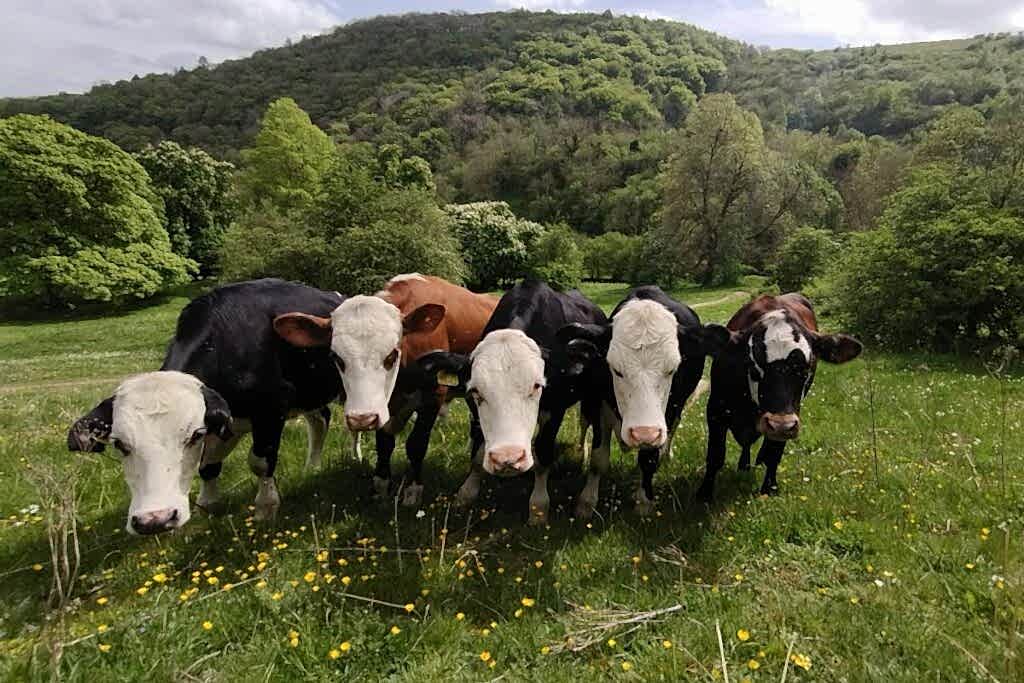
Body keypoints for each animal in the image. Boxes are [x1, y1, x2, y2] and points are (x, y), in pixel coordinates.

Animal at [68, 278, 444, 535]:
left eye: (192, 436)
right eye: (120, 445)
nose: (155, 520)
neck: (227, 338)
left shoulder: (270, 409)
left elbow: (260, 461)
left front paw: (266, 507)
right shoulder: (228, 416)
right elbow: (209, 465)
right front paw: (207, 502)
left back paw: (354, 455)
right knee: (320, 420)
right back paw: (313, 465)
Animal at [368, 274, 498, 508]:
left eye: (390, 353)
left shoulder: (433, 395)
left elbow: (416, 444)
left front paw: (413, 491)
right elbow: (384, 442)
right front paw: (381, 486)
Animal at [418, 280, 608, 525]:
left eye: (537, 385)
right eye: (476, 391)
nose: (507, 458)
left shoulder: (554, 409)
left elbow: (543, 454)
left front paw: (538, 508)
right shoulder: (474, 412)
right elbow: (477, 453)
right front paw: (466, 493)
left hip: (591, 397)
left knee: (586, 424)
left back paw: (581, 454)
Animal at [557, 286, 730, 517]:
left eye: (672, 368)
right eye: (615, 369)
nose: (642, 433)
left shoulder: (664, 416)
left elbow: (648, 459)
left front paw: (644, 501)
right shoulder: (599, 406)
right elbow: (598, 459)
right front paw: (586, 502)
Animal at [696, 293, 863, 501]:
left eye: (806, 369)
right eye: (751, 365)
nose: (780, 425)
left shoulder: (791, 418)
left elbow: (773, 454)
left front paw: (769, 488)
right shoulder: (716, 409)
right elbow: (715, 455)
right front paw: (704, 494)